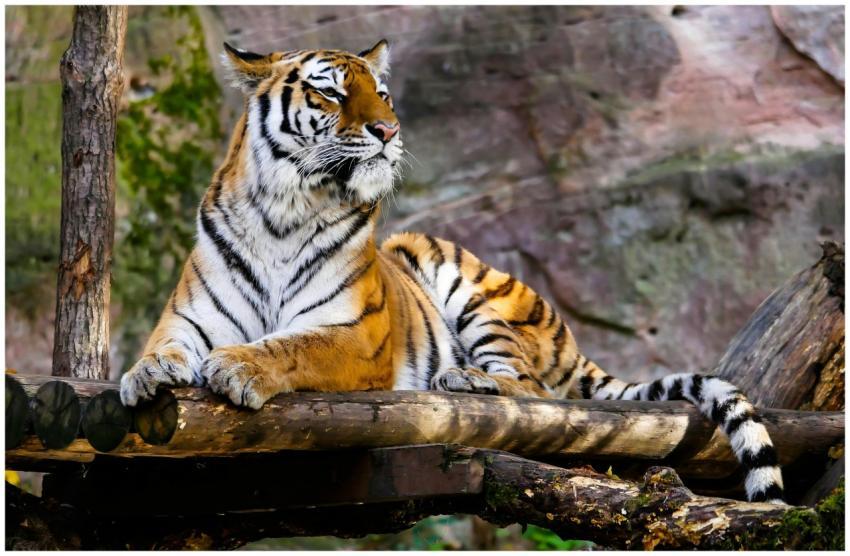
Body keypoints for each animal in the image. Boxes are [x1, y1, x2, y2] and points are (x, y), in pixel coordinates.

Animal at [119, 40, 785, 504]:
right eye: (331, 94)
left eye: (383, 95)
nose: (388, 130)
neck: (283, 212)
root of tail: (571, 340)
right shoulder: (189, 317)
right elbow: (163, 346)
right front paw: (144, 375)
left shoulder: (356, 336)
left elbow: (292, 346)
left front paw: (239, 366)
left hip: (467, 286)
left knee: (534, 391)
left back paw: (465, 380)